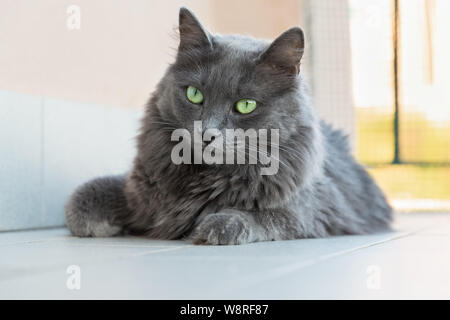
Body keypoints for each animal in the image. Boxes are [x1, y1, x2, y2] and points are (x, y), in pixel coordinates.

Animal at [65, 7, 392, 245]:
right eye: (194, 94)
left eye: (246, 105)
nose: (206, 133)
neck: (203, 178)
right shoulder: (138, 189)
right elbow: (81, 197)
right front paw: (99, 224)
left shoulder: (313, 210)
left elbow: (261, 215)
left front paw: (216, 224)